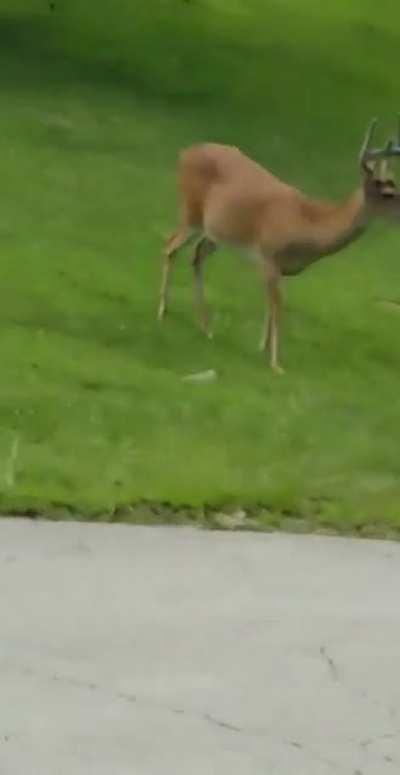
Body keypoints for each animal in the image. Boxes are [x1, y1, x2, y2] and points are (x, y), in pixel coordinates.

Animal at [158, 118, 400, 373]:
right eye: (388, 193)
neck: (309, 224)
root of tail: (185, 153)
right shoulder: (269, 256)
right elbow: (278, 308)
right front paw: (276, 364)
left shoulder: (280, 269)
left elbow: (270, 306)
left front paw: (262, 349)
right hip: (190, 212)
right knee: (170, 246)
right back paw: (163, 313)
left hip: (214, 232)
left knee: (196, 255)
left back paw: (206, 327)